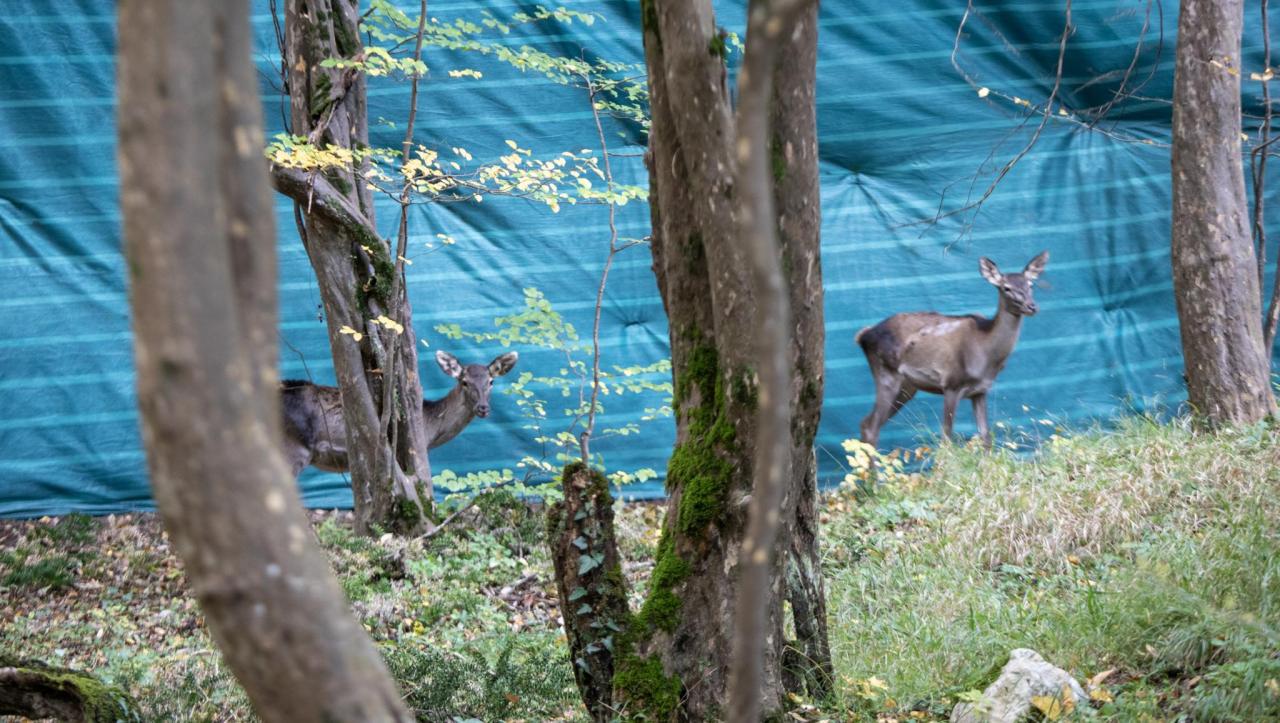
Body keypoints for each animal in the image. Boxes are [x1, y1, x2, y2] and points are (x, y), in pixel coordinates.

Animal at [855, 251, 1048, 449]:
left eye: (1030, 285)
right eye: (1006, 288)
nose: (1032, 306)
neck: (986, 354)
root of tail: (863, 335)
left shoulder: (981, 391)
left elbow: (986, 438)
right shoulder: (951, 384)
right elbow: (946, 439)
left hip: (908, 386)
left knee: (867, 422)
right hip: (886, 373)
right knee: (871, 425)